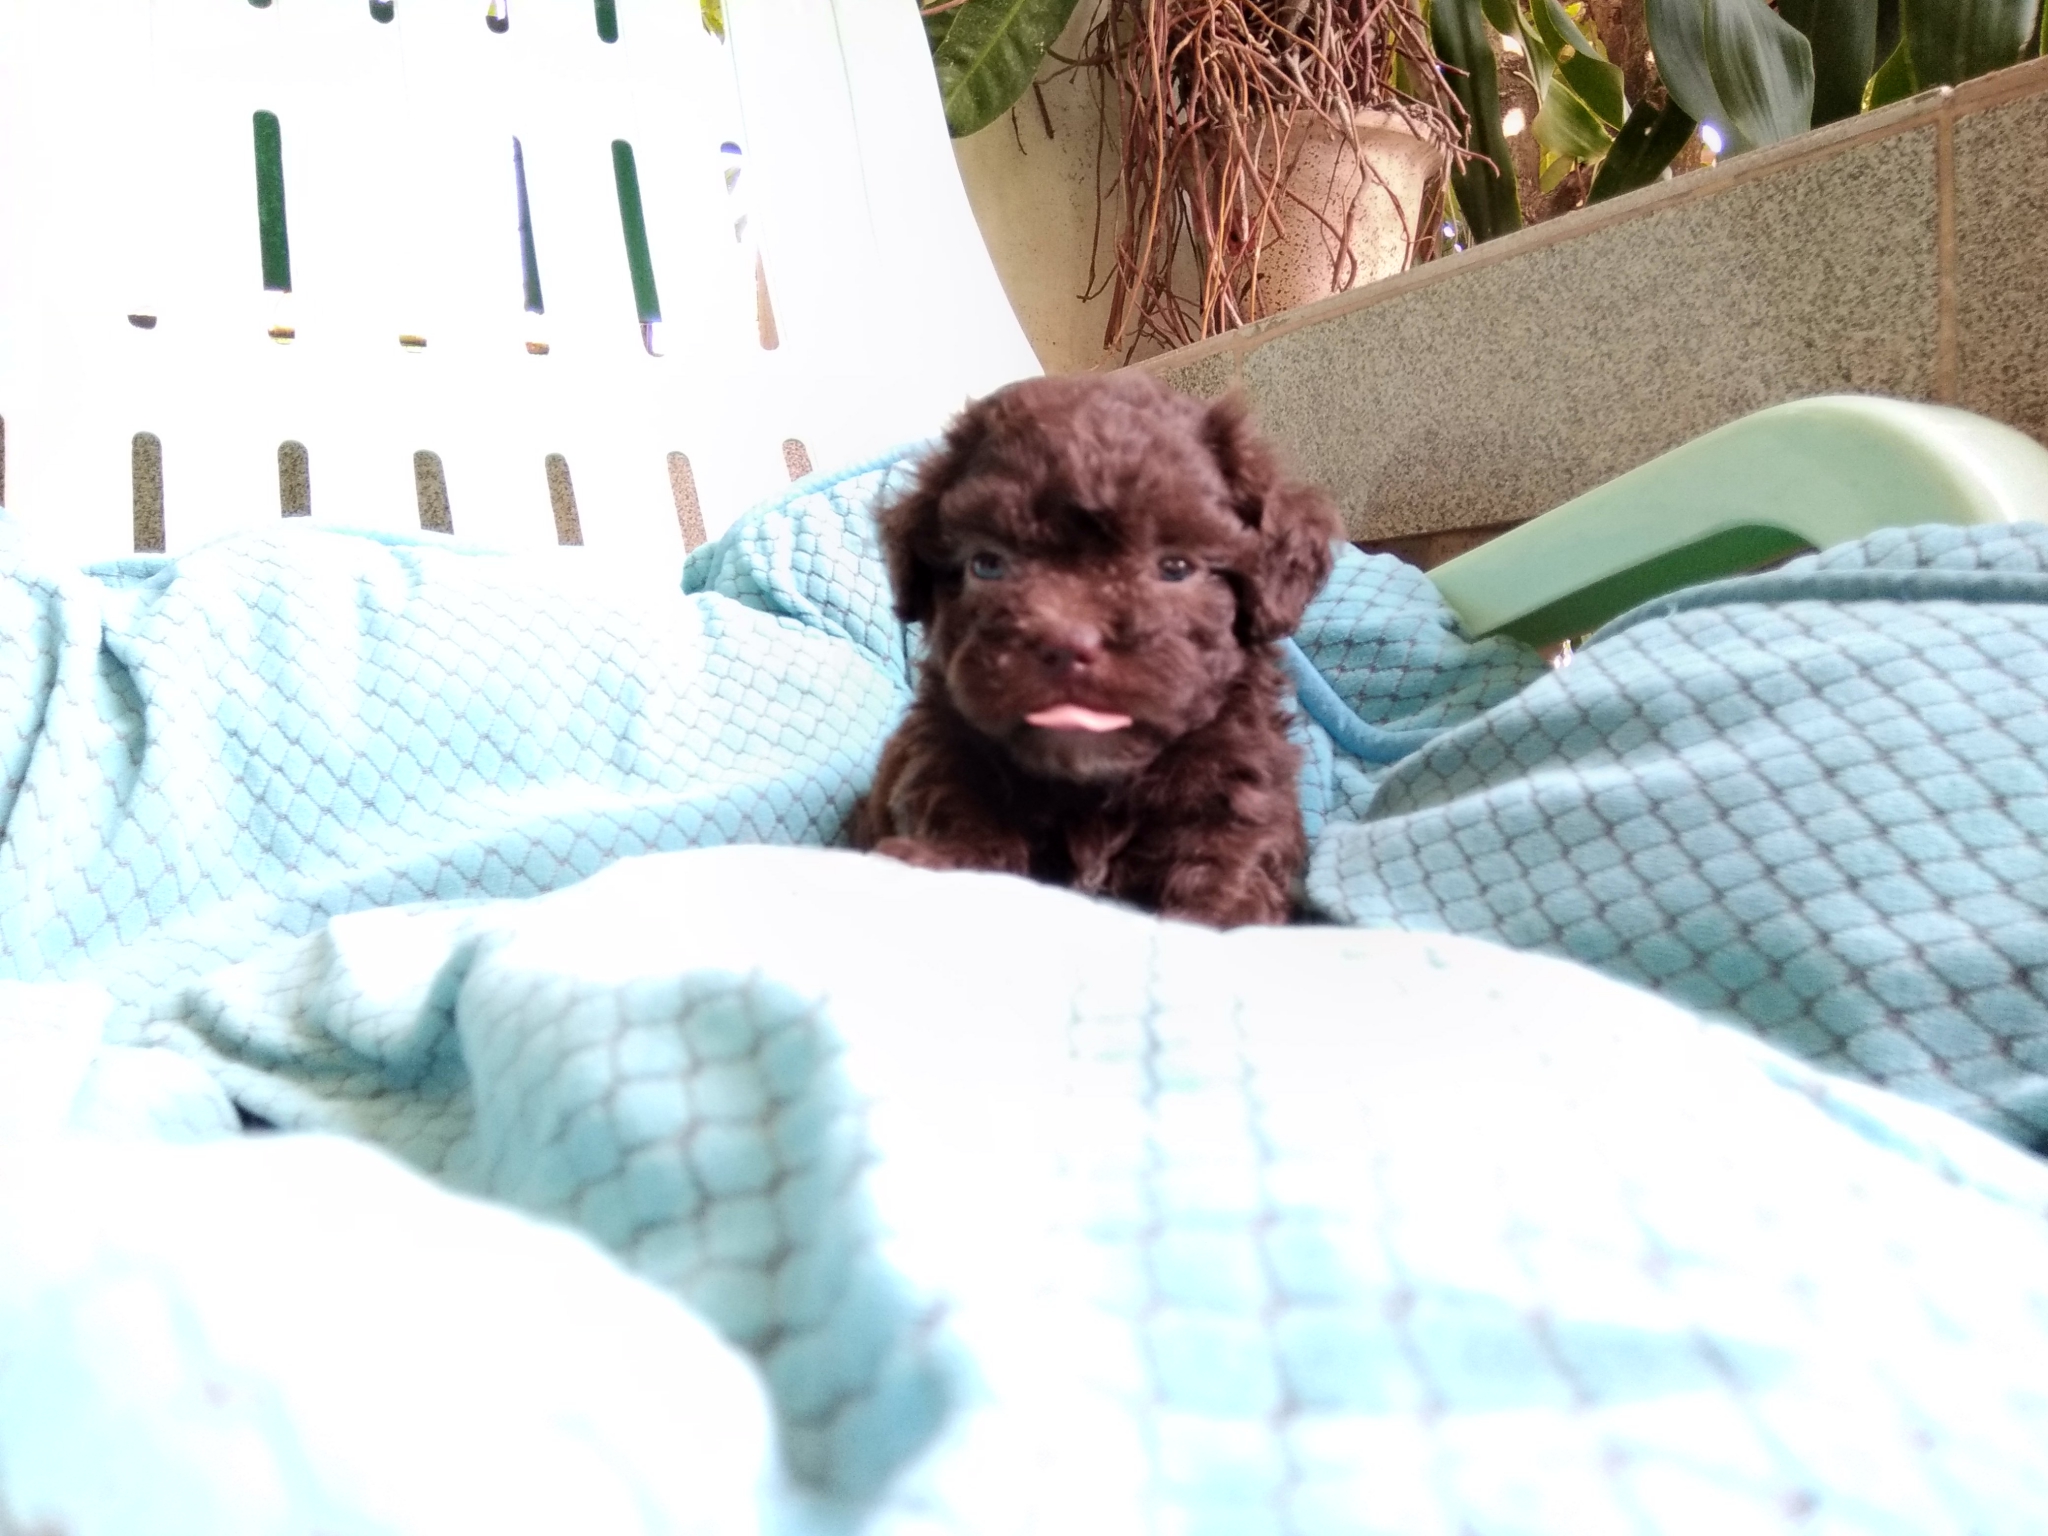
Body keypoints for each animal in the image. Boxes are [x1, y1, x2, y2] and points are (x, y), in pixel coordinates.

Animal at [853, 372, 1340, 927]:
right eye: (987, 565)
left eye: (1175, 568)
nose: (1067, 643)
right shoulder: (944, 748)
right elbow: (958, 809)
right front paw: (948, 862)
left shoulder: (1238, 780)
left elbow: (1228, 857)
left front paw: (1219, 915)